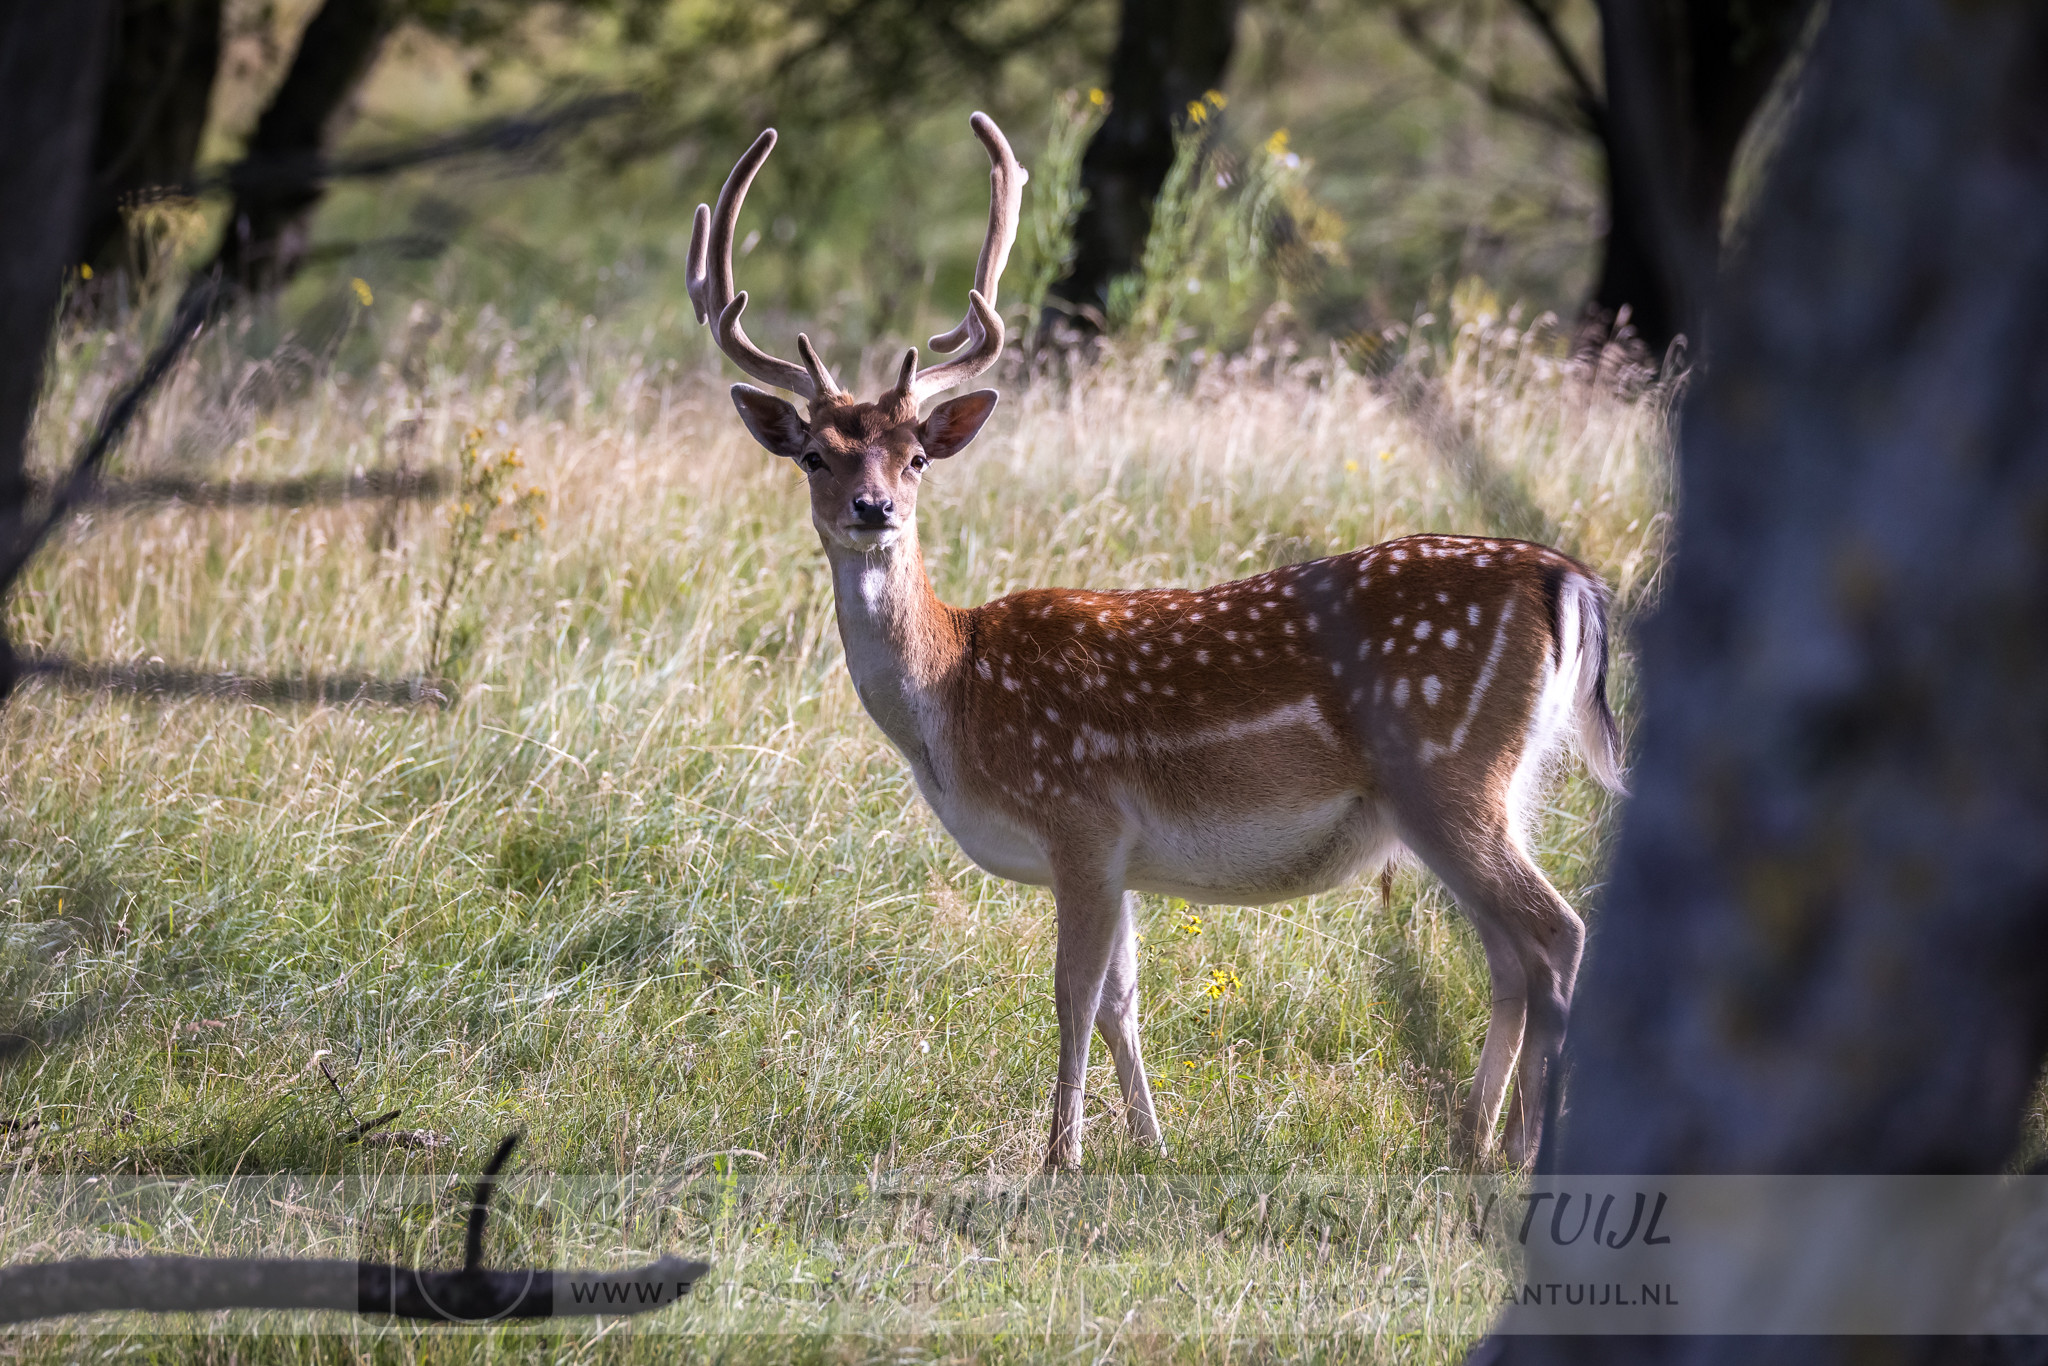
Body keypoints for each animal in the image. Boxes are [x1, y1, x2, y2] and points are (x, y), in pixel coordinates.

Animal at [685, 113, 1627, 1170]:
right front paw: (1151, 1143)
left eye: (918, 455)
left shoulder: (1080, 815)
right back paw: (1475, 1141)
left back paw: (1529, 1146)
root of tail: (1571, 582)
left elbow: (1073, 994)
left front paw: (1060, 1157)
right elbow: (1123, 1002)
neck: (952, 698)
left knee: (1555, 934)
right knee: (1511, 952)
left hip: (1448, 768)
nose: (873, 509)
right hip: (1493, 785)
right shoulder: (1120, 853)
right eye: (815, 455)